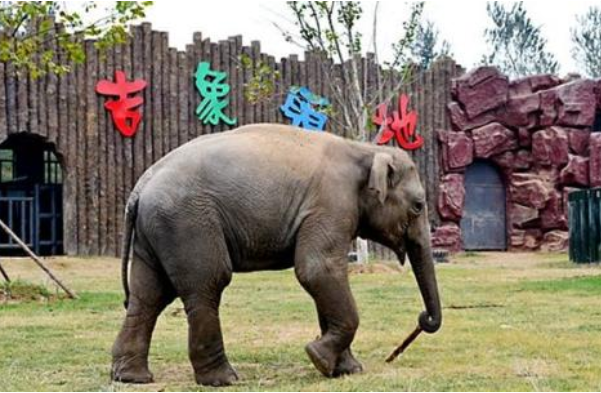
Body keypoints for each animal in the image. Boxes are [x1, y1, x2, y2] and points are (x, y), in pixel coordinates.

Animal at [111, 123, 440, 386]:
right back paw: (223, 379)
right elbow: (318, 270)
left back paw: (131, 377)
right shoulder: (331, 205)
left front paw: (345, 370)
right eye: (418, 206)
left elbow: (323, 277)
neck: (365, 149)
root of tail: (140, 186)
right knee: (207, 284)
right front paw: (318, 357)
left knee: (148, 295)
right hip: (188, 222)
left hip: (156, 229)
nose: (423, 318)